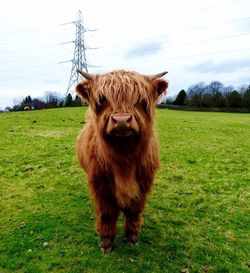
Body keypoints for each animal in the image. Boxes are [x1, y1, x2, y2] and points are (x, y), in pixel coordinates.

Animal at [75, 69, 167, 252]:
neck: (124, 159)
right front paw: (106, 241)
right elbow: (107, 213)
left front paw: (132, 236)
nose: (122, 121)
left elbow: (134, 211)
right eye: (102, 99)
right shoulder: (101, 185)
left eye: (141, 100)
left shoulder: (143, 183)